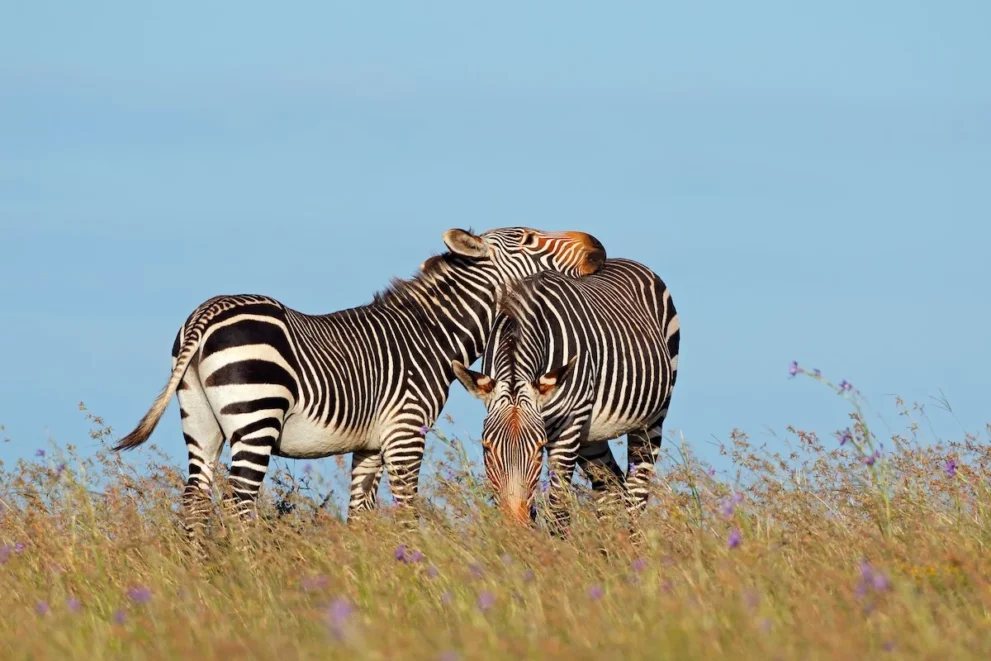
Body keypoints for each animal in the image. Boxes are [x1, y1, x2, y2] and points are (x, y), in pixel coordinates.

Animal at [108, 227, 604, 548]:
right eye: (529, 238)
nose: (596, 247)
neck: (433, 334)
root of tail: (207, 312)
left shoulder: (369, 444)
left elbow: (360, 516)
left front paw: (368, 577)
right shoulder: (406, 431)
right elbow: (406, 510)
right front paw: (414, 575)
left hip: (200, 420)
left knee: (194, 501)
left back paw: (201, 579)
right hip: (256, 417)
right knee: (238, 505)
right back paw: (249, 577)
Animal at [452, 255, 680, 540]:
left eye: (538, 449)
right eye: (486, 447)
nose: (515, 527)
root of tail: (625, 261)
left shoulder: (568, 429)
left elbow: (558, 509)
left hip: (652, 417)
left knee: (636, 491)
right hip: (591, 436)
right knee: (610, 487)